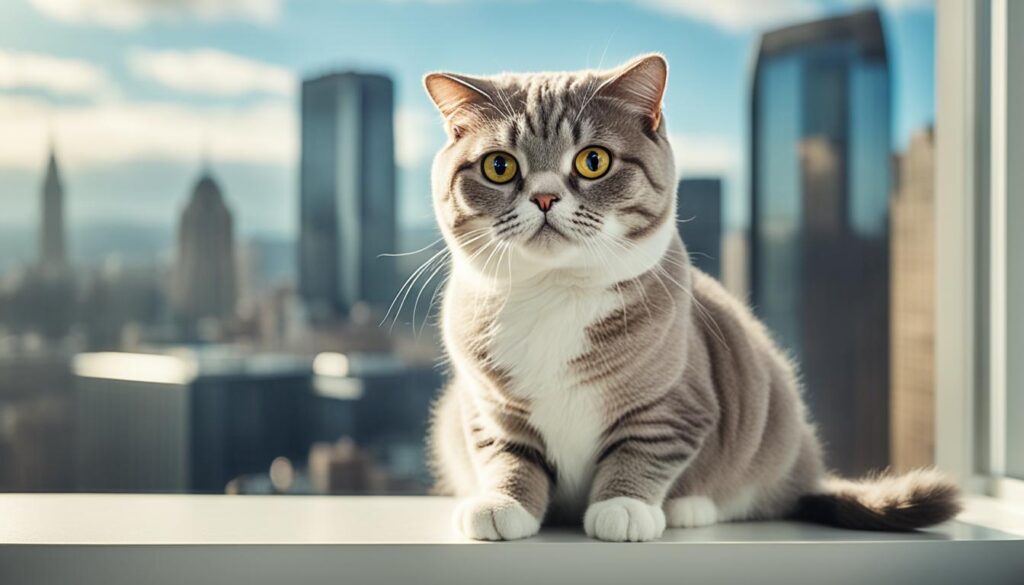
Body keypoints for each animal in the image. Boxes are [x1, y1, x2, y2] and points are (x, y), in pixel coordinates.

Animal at [421, 52, 958, 540]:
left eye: (593, 161)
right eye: (499, 166)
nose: (545, 197)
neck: (557, 293)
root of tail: (806, 471)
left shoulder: (678, 403)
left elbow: (644, 450)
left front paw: (624, 508)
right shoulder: (488, 407)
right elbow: (505, 454)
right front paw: (502, 503)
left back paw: (689, 507)